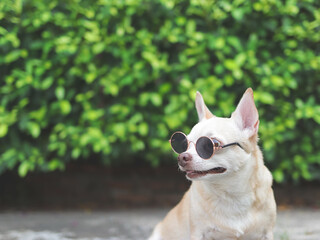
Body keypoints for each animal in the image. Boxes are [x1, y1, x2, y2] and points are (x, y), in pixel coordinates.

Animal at [150, 88, 278, 240]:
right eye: (184, 145)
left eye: (212, 144)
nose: (181, 157)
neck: (231, 194)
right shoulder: (198, 233)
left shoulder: (267, 233)